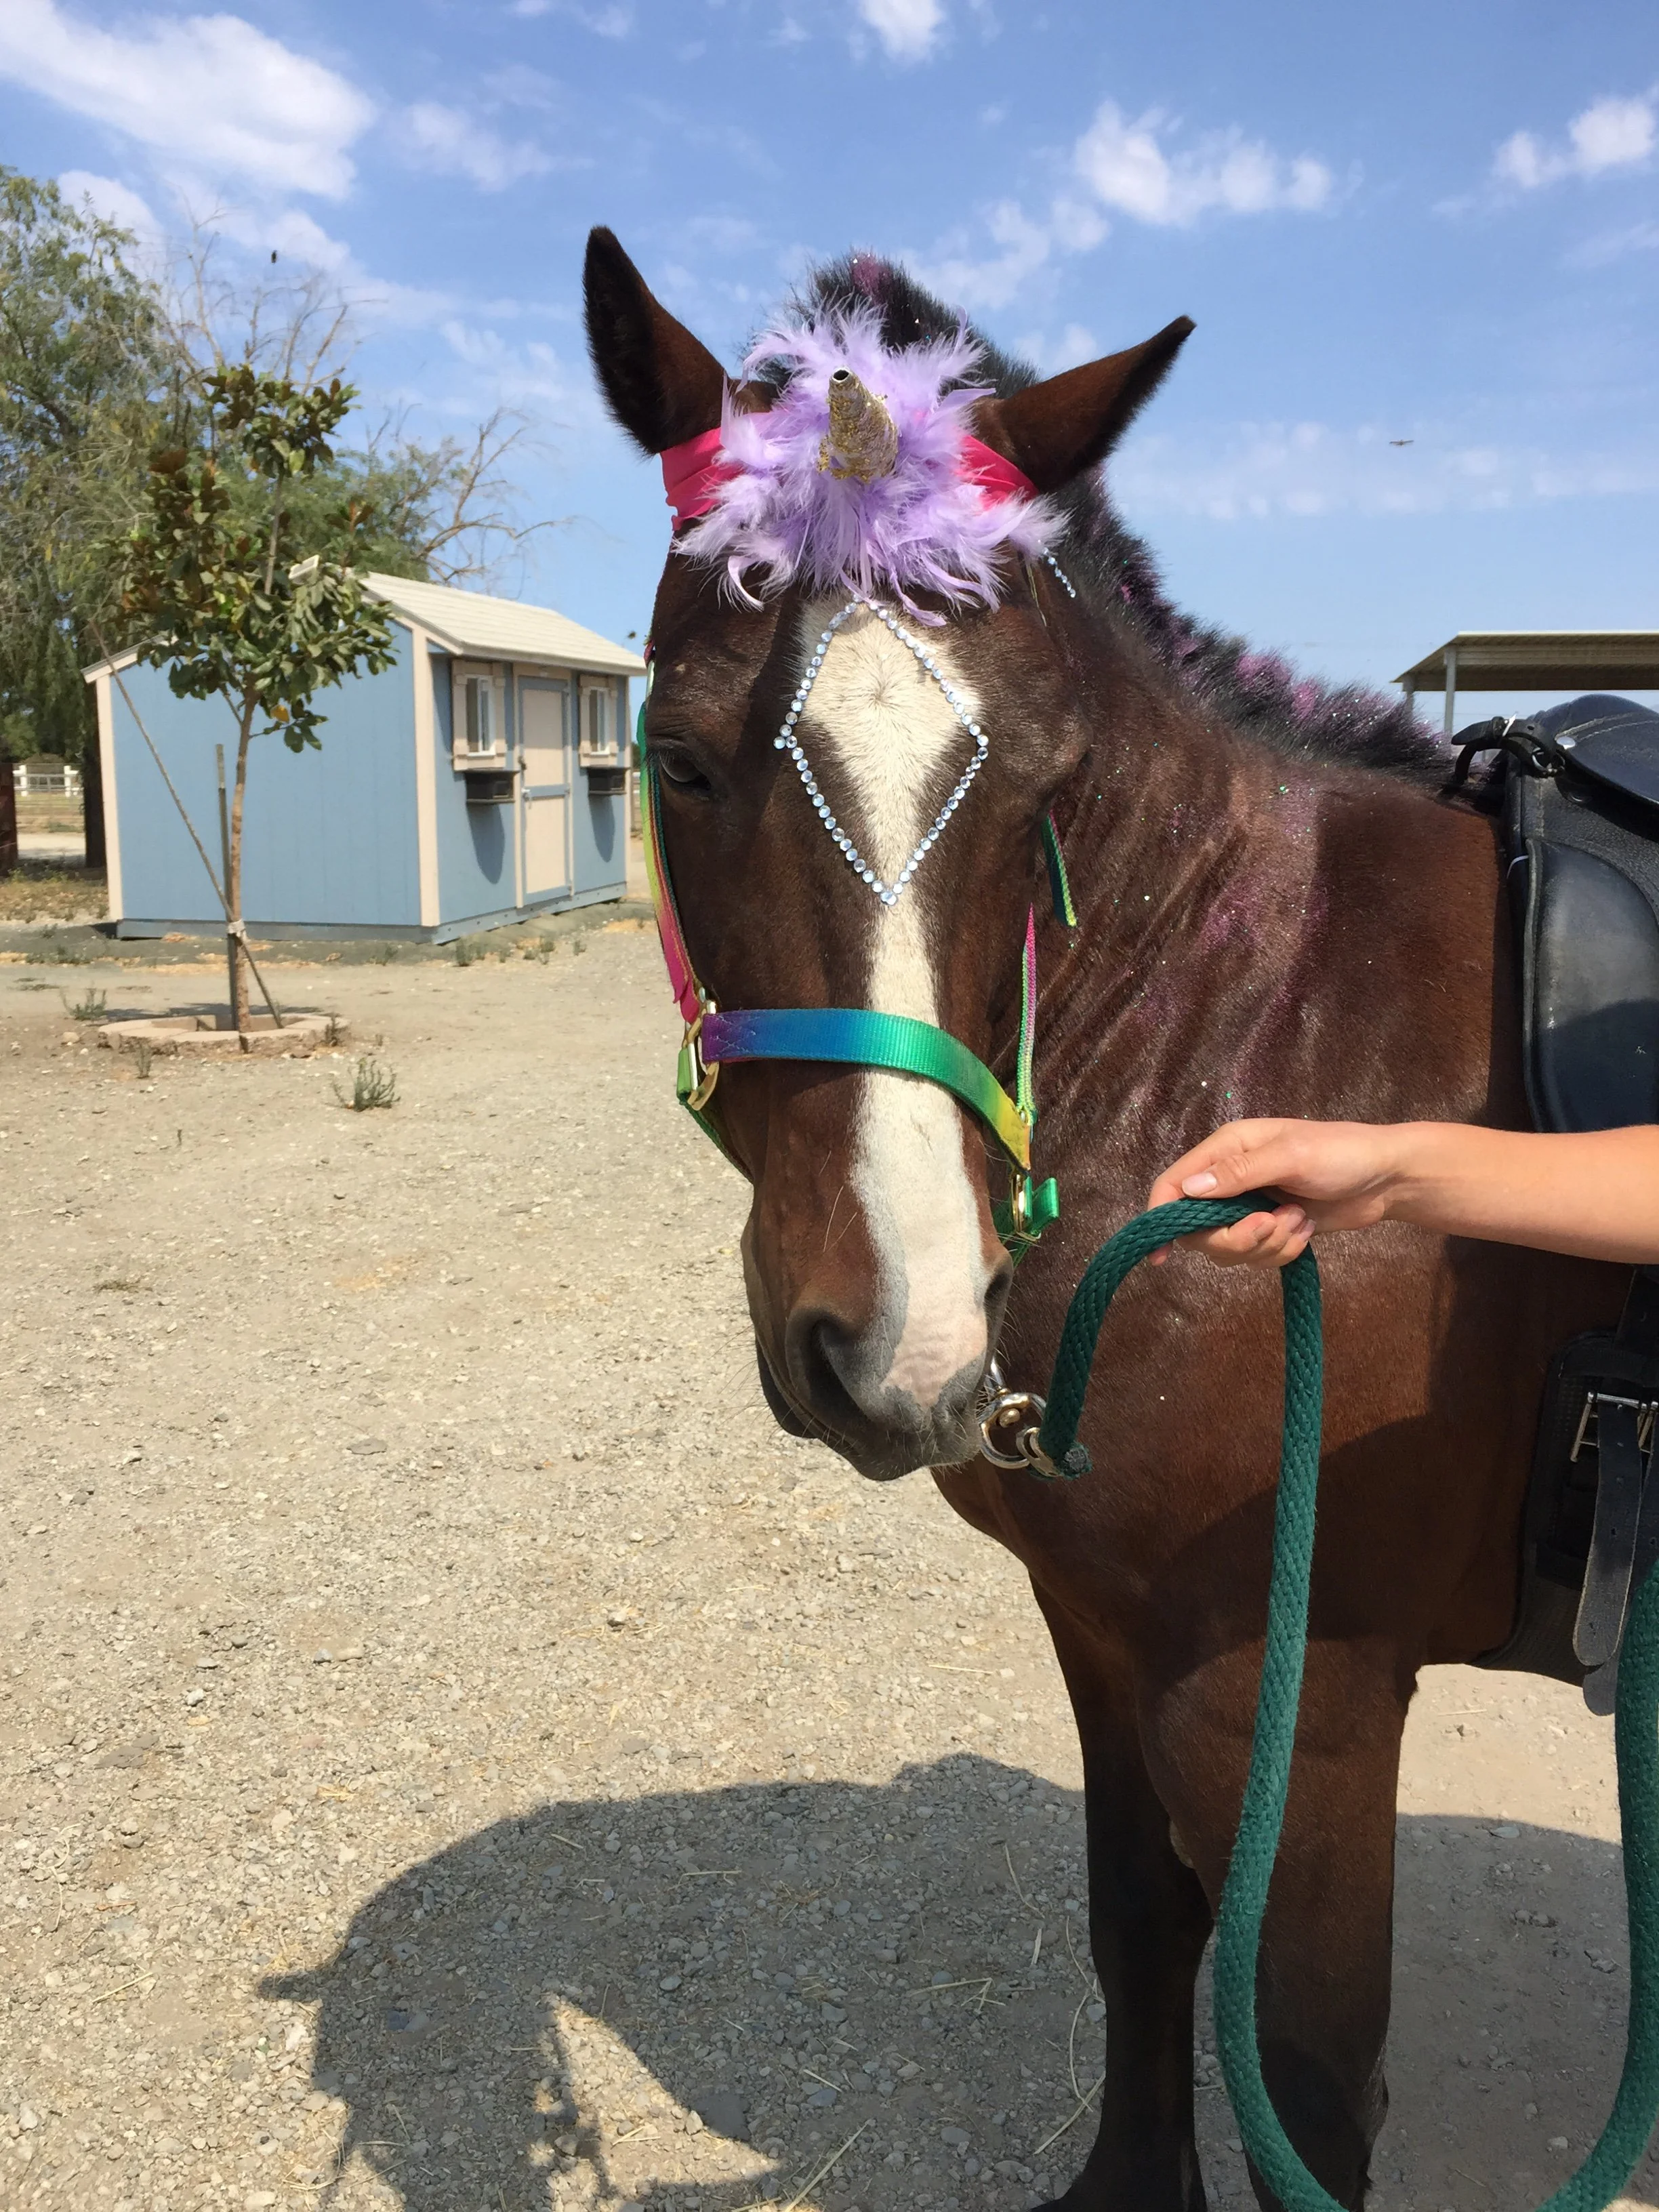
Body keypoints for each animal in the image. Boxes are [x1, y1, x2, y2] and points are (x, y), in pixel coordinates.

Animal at [583, 228, 1624, 2212]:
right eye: (674, 761)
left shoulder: (1300, 1691)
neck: (1248, 1034)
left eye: (1038, 784)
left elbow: (1300, 2075)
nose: (897, 1337)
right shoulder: (1102, 1629)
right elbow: (1139, 1928)